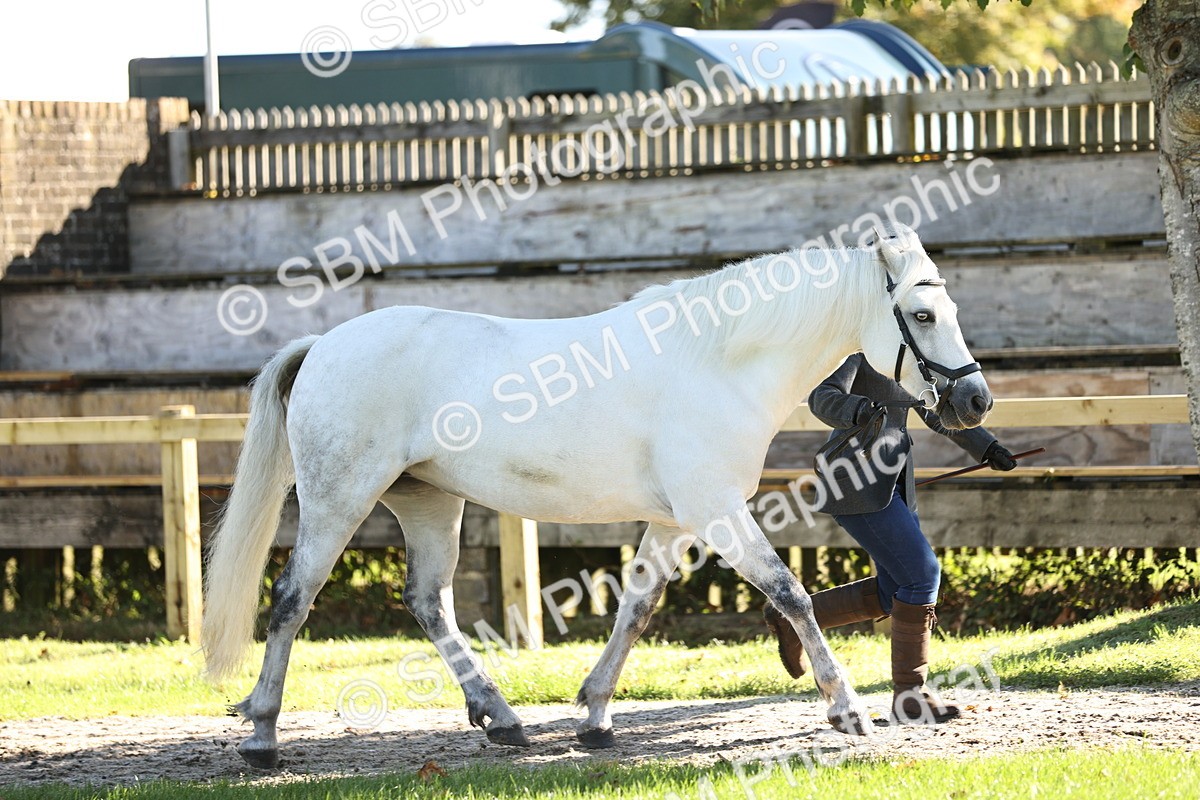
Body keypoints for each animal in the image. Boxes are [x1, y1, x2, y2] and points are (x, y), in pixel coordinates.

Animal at [201, 222, 992, 768]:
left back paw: (503, 718)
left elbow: (636, 609)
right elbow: (789, 593)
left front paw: (595, 718)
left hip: (428, 504)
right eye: (923, 316)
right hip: (339, 500)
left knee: (427, 603)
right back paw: (263, 735)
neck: (718, 361)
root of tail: (323, 345)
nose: (975, 400)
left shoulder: (672, 523)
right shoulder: (717, 511)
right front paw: (846, 708)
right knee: (292, 599)